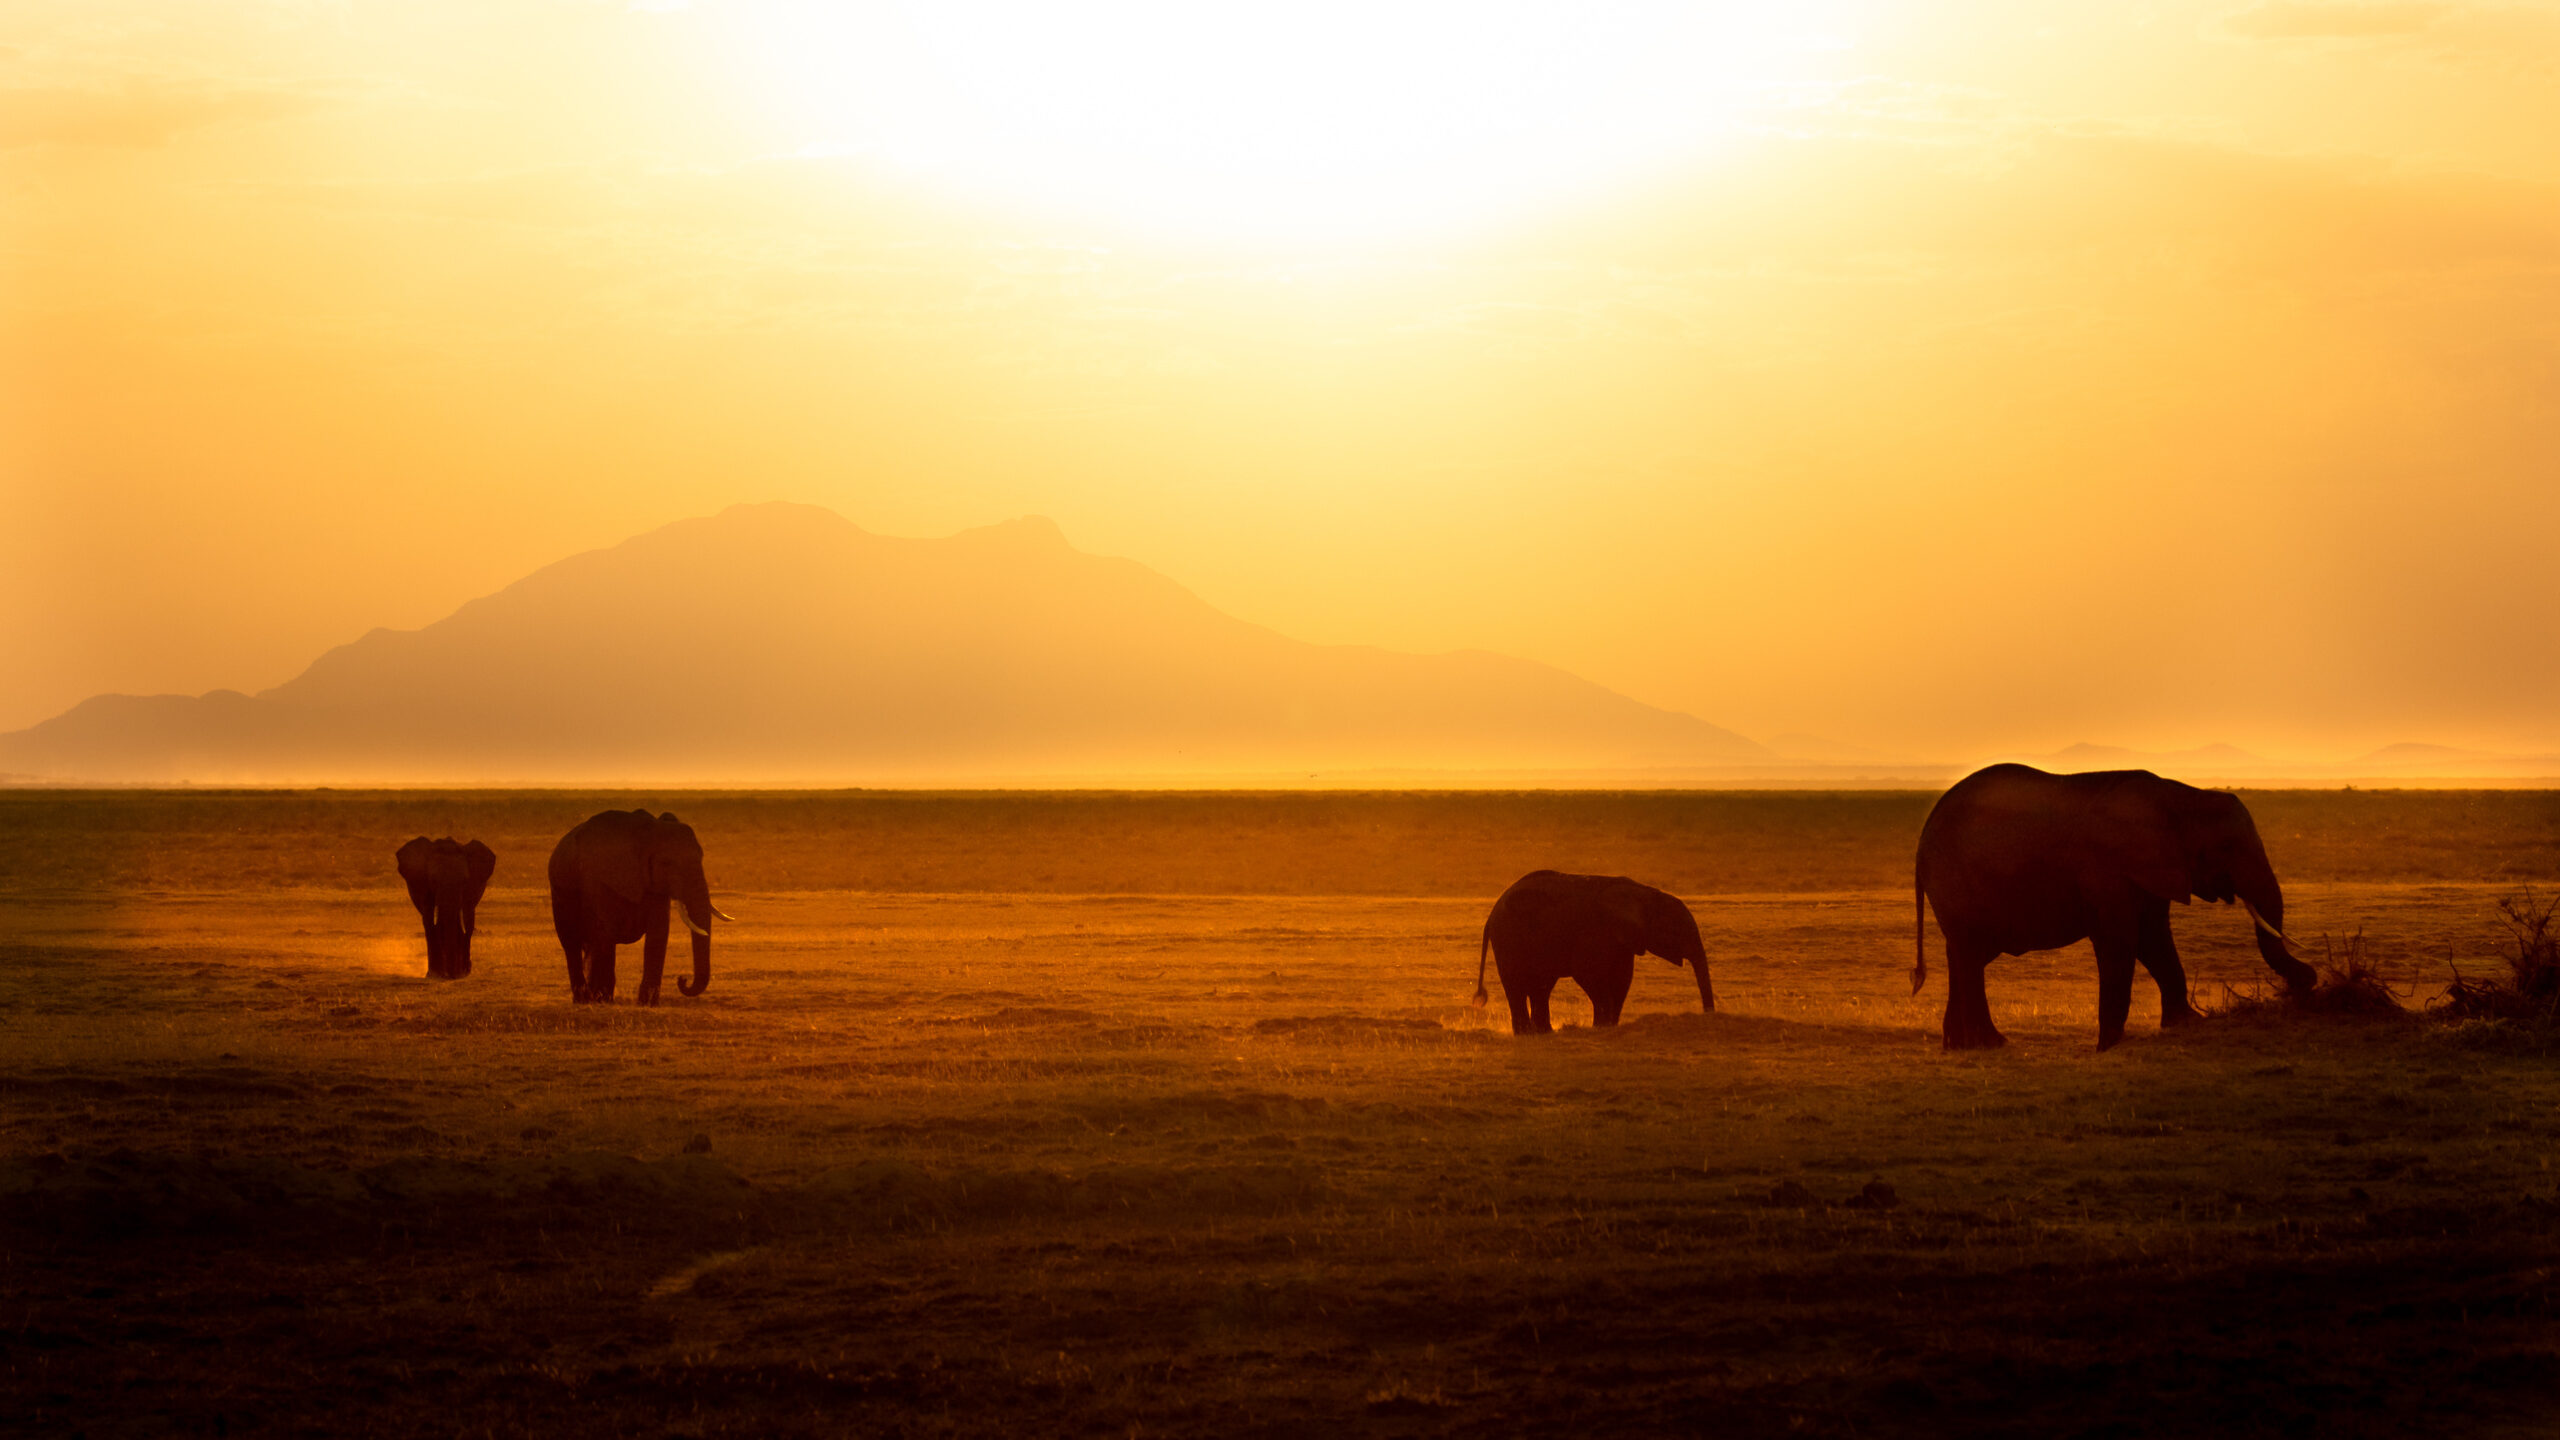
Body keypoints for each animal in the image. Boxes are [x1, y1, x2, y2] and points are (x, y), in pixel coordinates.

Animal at [395, 837, 495, 980]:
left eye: (465, 881)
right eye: (433, 881)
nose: (450, 975)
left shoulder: (472, 889)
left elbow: (468, 921)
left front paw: (462, 974)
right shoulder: (423, 887)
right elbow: (429, 921)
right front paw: (434, 975)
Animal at [547, 809, 731, 1005]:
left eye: (701, 857)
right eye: (666, 863)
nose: (682, 979)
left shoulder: (654, 884)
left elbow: (658, 933)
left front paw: (647, 1003)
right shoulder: (598, 879)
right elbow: (605, 934)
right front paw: (604, 1000)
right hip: (559, 891)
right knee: (571, 943)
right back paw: (584, 999)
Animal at [1472, 871, 1713, 1035]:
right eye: (1676, 930)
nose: (1708, 1014)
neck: (1644, 892)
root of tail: (1491, 915)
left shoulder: (1620, 941)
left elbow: (1622, 978)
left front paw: (1608, 1027)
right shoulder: (1595, 931)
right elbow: (1588, 974)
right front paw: (1602, 1027)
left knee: (1541, 986)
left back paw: (1543, 1033)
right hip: (1507, 939)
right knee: (1517, 985)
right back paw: (1527, 1034)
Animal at [1914, 764, 2317, 1052]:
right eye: (2229, 846)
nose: (2310, 980)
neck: (2180, 796)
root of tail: (1924, 833)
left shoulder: (2152, 869)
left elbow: (2154, 939)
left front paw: (2186, 1025)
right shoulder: (2107, 867)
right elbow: (2121, 939)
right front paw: (2108, 1046)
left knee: (1964, 955)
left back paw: (1961, 1046)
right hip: (1958, 882)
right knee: (1969, 955)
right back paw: (1988, 1044)